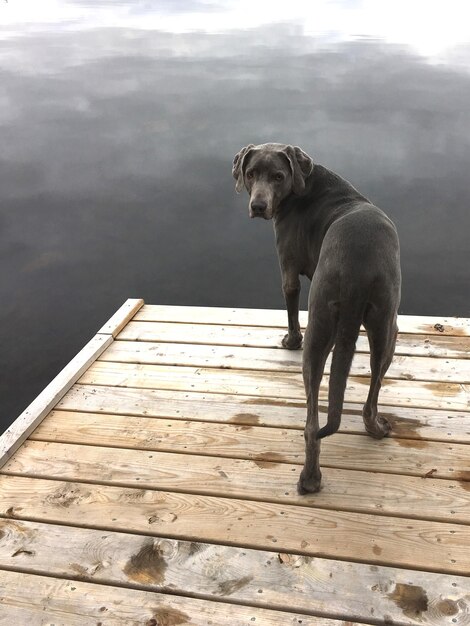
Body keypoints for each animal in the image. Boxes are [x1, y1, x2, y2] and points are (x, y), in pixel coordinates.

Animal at [231, 143, 400, 492]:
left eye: (278, 176)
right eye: (251, 174)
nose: (258, 206)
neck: (305, 186)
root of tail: (355, 267)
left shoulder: (287, 263)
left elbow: (290, 300)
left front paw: (289, 340)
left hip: (354, 323)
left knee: (318, 420)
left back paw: (312, 477)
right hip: (381, 325)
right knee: (356, 404)